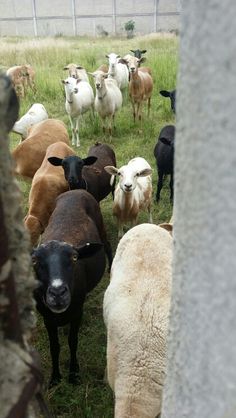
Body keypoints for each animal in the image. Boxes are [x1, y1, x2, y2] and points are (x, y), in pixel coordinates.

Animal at [32, 189, 112, 386]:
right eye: (35, 261)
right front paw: (55, 378)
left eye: (75, 258)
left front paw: (74, 374)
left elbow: (72, 341)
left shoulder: (77, 313)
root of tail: (76, 190)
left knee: (108, 245)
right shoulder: (47, 318)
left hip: (101, 226)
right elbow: (55, 346)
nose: (58, 293)